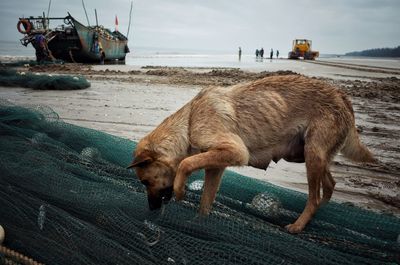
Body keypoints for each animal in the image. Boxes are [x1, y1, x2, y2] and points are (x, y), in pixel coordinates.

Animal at [128, 73, 376, 232]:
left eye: (145, 182)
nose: (152, 209)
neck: (189, 121)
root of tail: (342, 96)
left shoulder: (236, 151)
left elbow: (185, 164)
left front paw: (180, 190)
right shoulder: (216, 167)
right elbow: (205, 202)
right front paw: (200, 225)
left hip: (312, 153)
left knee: (313, 197)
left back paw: (298, 225)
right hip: (310, 154)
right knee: (330, 184)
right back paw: (319, 213)